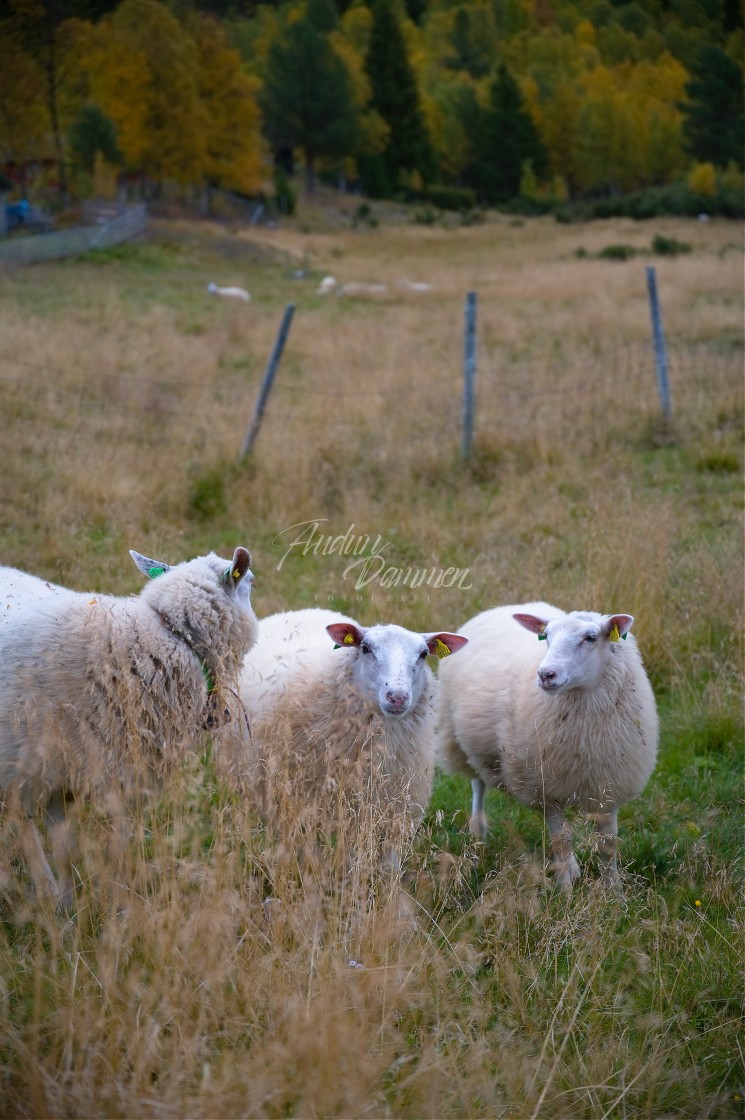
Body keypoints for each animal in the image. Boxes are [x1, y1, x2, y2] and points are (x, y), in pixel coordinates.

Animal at [0, 546, 257, 904]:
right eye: (251, 582)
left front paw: (66, 904)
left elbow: (65, 846)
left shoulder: (62, 774)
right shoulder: (38, 771)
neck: (164, 638)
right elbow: (112, 844)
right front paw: (114, 902)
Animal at [218, 609, 468, 860]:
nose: (397, 697)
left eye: (424, 654)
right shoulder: (312, 808)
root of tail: (298, 611)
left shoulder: (395, 811)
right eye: (365, 648)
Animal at [436, 604, 658, 891]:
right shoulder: (544, 787)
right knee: (478, 785)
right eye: (547, 636)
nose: (545, 675)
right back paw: (478, 832)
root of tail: (499, 608)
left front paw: (614, 890)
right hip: (468, 743)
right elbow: (561, 840)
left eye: (591, 637)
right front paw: (565, 891)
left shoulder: (607, 782)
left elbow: (608, 843)